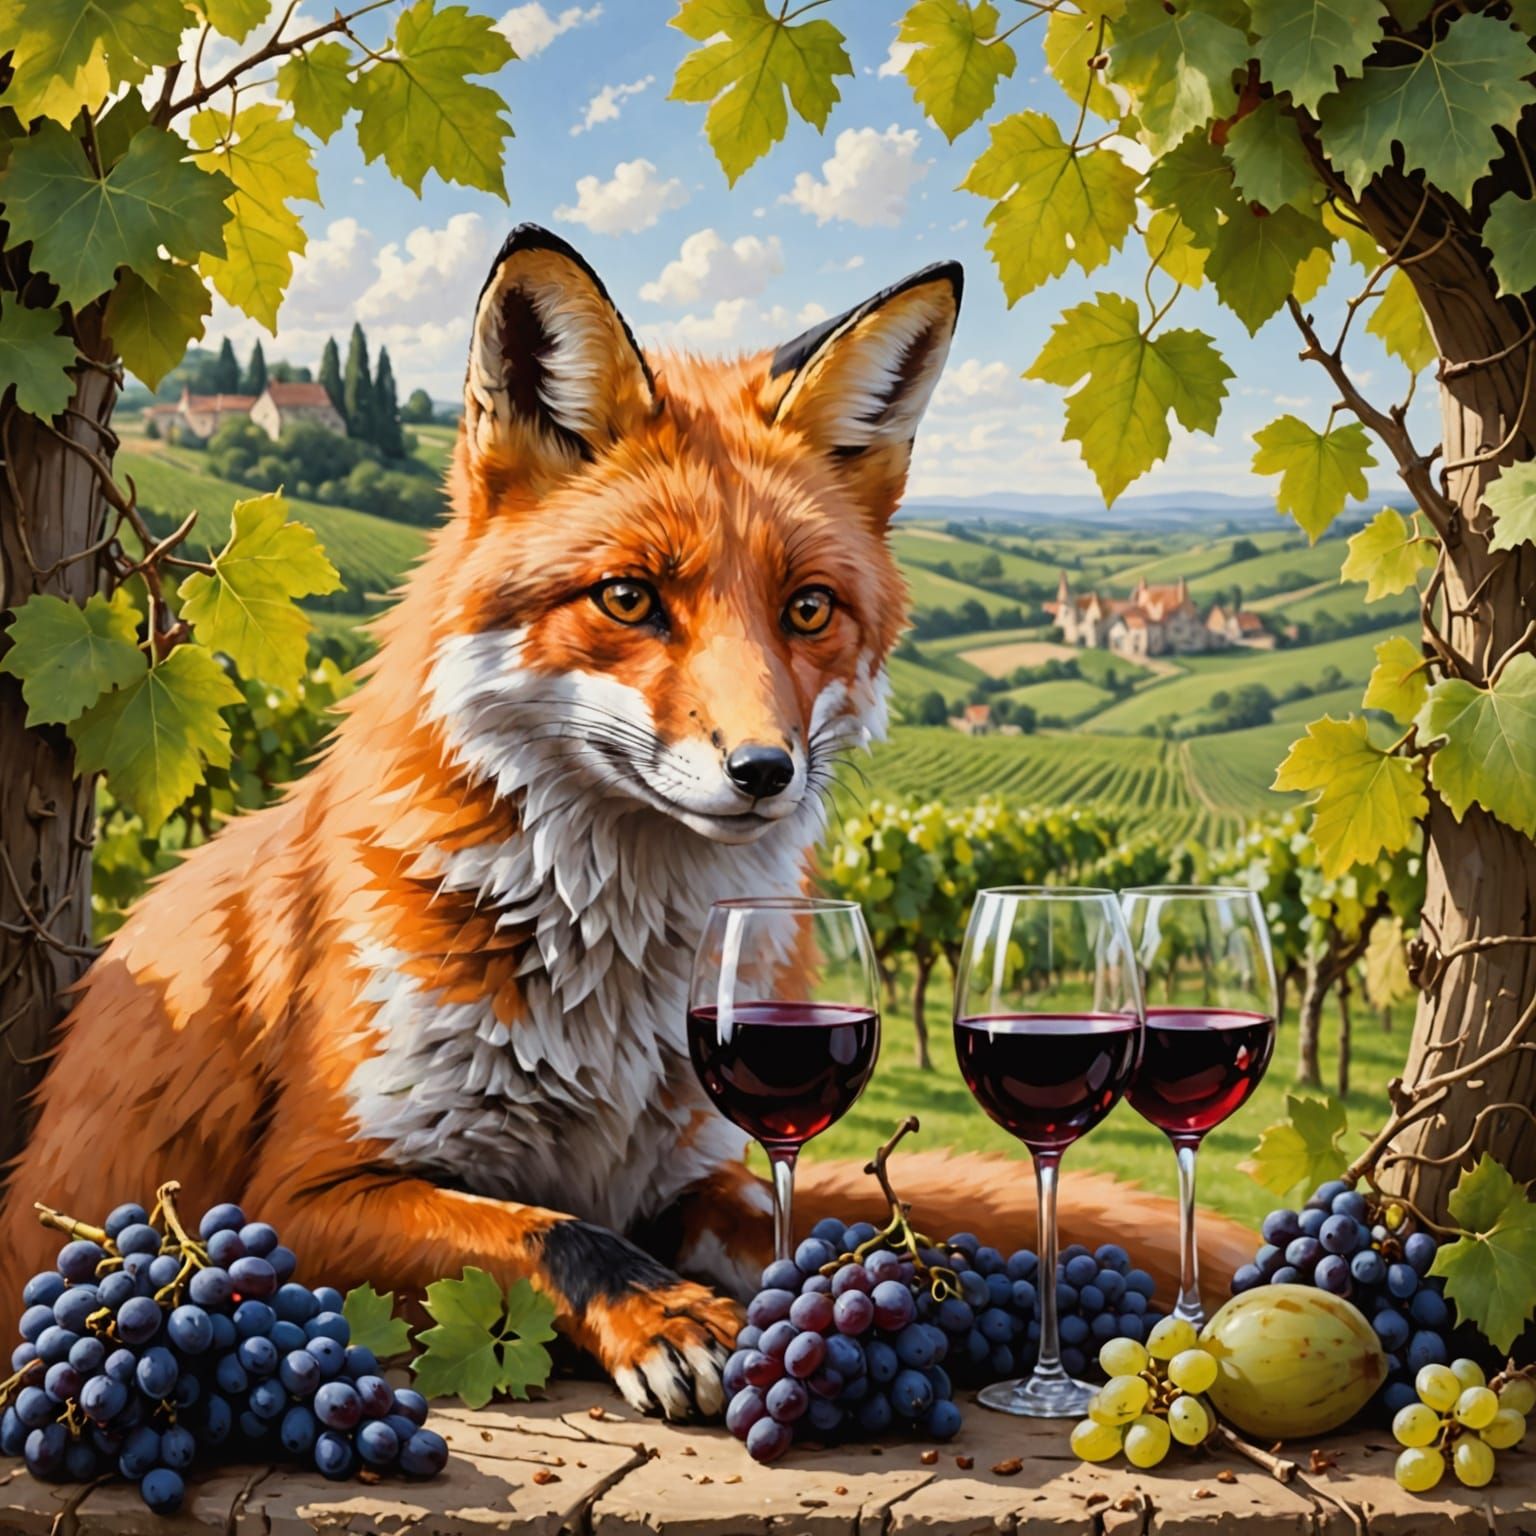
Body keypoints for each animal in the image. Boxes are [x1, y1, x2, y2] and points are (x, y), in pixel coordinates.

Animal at [0, 226, 1256, 1419]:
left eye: (809, 609)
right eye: (628, 598)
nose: (765, 771)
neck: (605, 989)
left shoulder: (687, 1165)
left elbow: (789, 1220)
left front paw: (855, 1291)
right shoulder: (295, 1195)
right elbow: (548, 1231)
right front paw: (669, 1317)